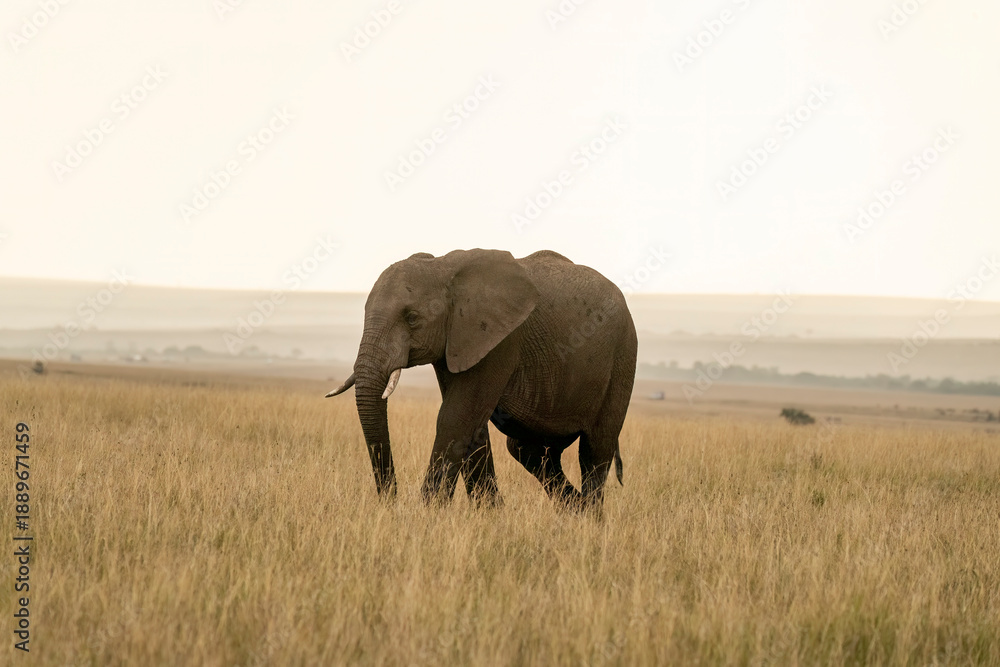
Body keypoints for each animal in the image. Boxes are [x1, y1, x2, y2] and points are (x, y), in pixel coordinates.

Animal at [325, 248, 637, 510]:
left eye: (412, 318)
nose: (390, 502)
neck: (444, 267)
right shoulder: (455, 342)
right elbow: (472, 426)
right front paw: (491, 516)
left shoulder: (501, 340)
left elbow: (456, 417)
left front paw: (427, 514)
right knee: (529, 450)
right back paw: (575, 511)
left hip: (623, 355)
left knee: (595, 450)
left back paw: (590, 521)